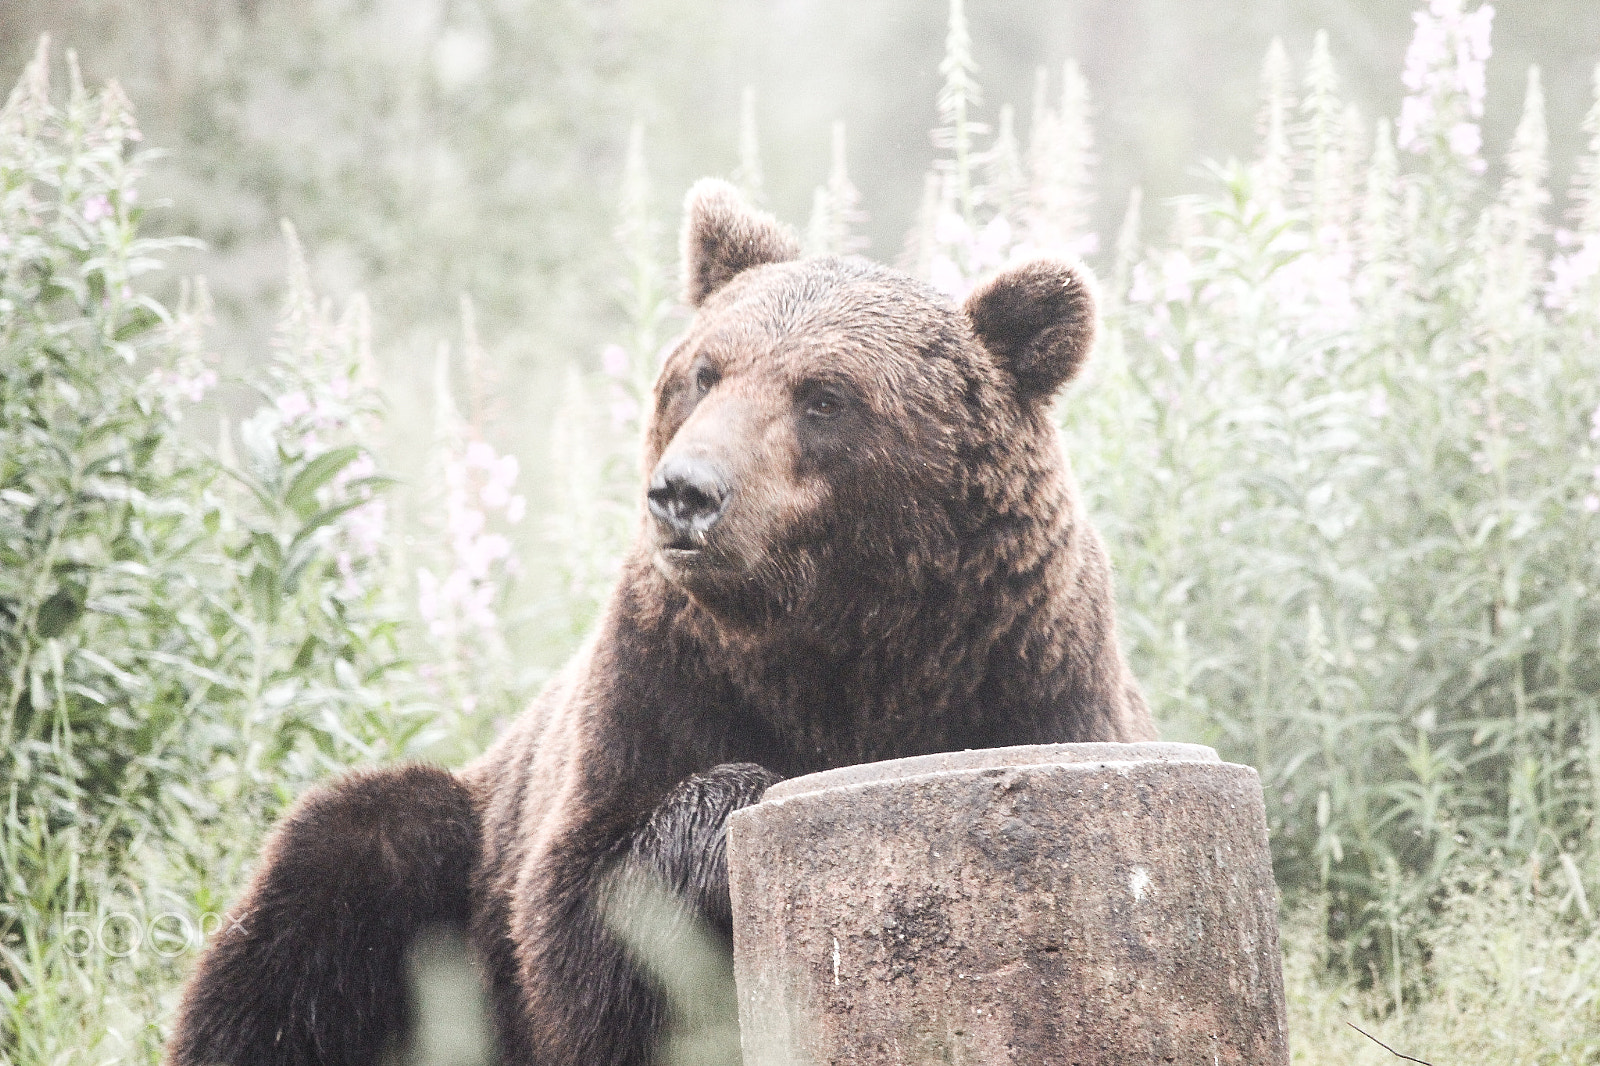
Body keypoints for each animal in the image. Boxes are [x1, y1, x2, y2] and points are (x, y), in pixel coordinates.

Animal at [165, 178, 1155, 1066]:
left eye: (825, 395)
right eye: (704, 372)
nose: (685, 492)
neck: (840, 643)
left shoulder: (1029, 681)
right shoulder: (658, 678)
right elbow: (580, 924)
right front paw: (738, 802)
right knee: (335, 879)